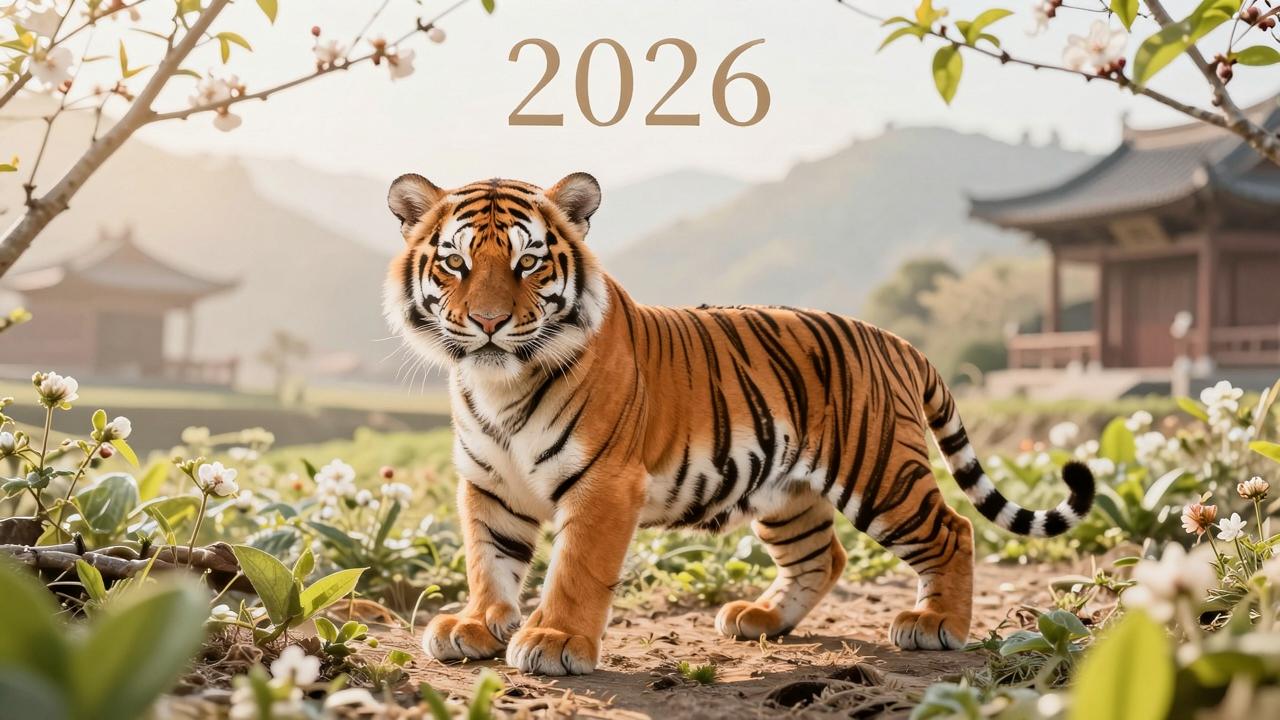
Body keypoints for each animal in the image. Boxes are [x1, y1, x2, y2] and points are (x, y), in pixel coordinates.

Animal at [383, 172, 1095, 676]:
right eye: (455, 262)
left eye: (527, 262)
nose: (488, 322)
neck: (499, 385)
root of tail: (894, 339)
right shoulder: (490, 484)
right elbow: (489, 558)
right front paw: (475, 626)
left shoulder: (604, 484)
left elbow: (575, 567)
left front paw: (553, 641)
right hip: (786, 493)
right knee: (824, 554)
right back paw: (761, 618)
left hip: (880, 474)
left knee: (952, 529)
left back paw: (936, 625)